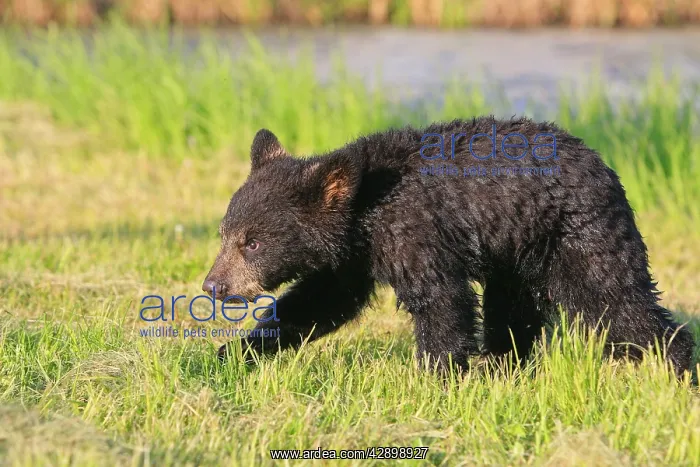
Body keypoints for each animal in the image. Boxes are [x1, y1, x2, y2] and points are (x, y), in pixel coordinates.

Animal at [202, 116, 695, 377]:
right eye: (224, 233)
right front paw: (235, 353)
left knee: (616, 298)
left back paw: (673, 367)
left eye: (253, 242)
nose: (213, 286)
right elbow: (321, 301)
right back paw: (502, 365)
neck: (366, 210)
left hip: (575, 235)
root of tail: (605, 165)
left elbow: (440, 300)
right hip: (516, 253)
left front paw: (437, 375)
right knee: (513, 311)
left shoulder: (417, 233)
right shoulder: (354, 259)